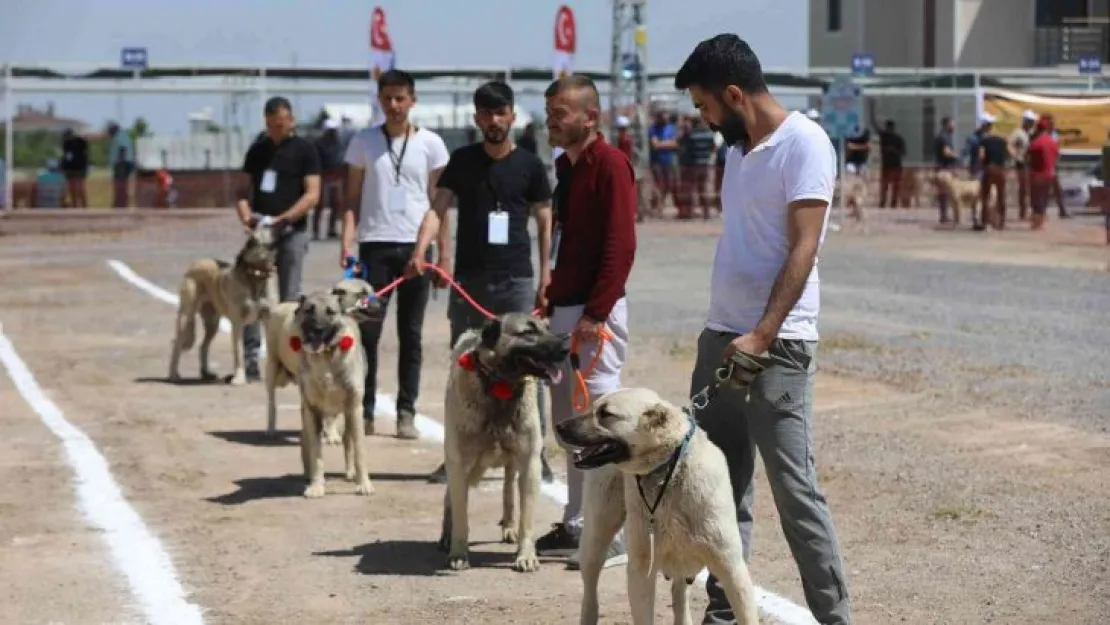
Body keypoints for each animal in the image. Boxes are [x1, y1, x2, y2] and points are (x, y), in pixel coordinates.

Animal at [170, 227, 279, 386]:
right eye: (264, 228)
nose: (276, 225)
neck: (256, 275)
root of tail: (195, 263)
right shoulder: (237, 324)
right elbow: (239, 353)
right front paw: (239, 378)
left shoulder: (268, 318)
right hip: (186, 316)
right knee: (177, 344)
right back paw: (173, 374)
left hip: (212, 323)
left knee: (203, 346)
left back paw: (206, 373)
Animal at [261, 276, 384, 441]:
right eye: (362, 293)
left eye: (372, 290)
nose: (383, 301)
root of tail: (279, 306)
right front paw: (328, 434)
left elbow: (332, 412)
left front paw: (330, 433)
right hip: (273, 369)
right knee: (271, 402)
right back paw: (271, 428)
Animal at [437, 315, 568, 572]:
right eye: (528, 332)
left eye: (548, 328)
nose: (566, 348)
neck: (500, 386)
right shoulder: (459, 465)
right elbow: (461, 515)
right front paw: (458, 552)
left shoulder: (530, 465)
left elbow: (526, 518)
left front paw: (525, 555)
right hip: (467, 469)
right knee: (450, 498)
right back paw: (447, 535)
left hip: (509, 464)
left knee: (508, 491)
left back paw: (508, 526)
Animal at [559, 388, 759, 621]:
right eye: (593, 407)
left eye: (606, 414)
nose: (558, 426)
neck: (667, 470)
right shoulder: (641, 571)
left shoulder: (731, 569)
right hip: (596, 537)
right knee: (590, 593)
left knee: (679, 594)